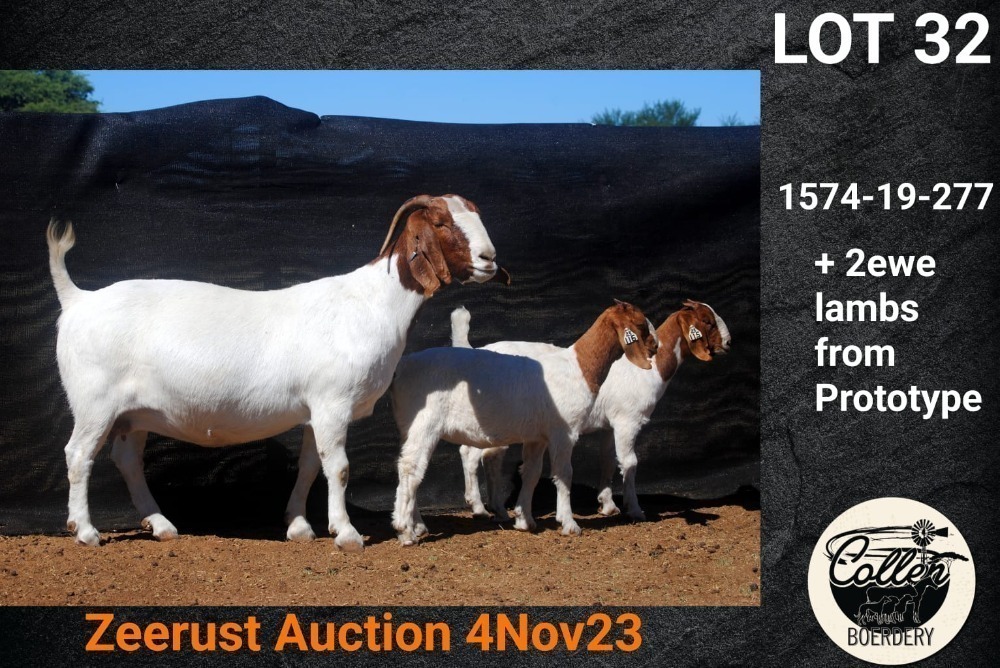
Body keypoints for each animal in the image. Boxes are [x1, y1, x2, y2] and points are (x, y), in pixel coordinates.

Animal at [47, 194, 508, 550]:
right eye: (441, 222)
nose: (489, 258)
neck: (372, 303)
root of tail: (78, 300)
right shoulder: (332, 403)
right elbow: (339, 467)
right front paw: (346, 534)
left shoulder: (314, 411)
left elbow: (310, 466)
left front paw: (299, 526)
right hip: (94, 402)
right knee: (78, 454)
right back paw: (85, 530)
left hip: (135, 413)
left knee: (126, 459)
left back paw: (160, 526)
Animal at [389, 301, 658, 545]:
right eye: (640, 324)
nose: (655, 347)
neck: (578, 367)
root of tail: (402, 369)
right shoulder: (564, 431)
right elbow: (564, 473)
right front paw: (569, 523)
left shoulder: (537, 436)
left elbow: (531, 472)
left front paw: (524, 519)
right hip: (424, 425)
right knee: (412, 469)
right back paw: (405, 530)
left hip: (408, 427)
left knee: (408, 468)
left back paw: (418, 526)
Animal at [457, 300, 730, 521]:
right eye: (707, 321)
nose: (728, 343)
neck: (649, 369)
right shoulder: (628, 421)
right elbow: (630, 462)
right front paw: (634, 509)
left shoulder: (610, 426)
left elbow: (607, 461)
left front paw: (607, 505)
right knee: (472, 454)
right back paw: (478, 507)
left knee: (489, 456)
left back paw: (497, 509)